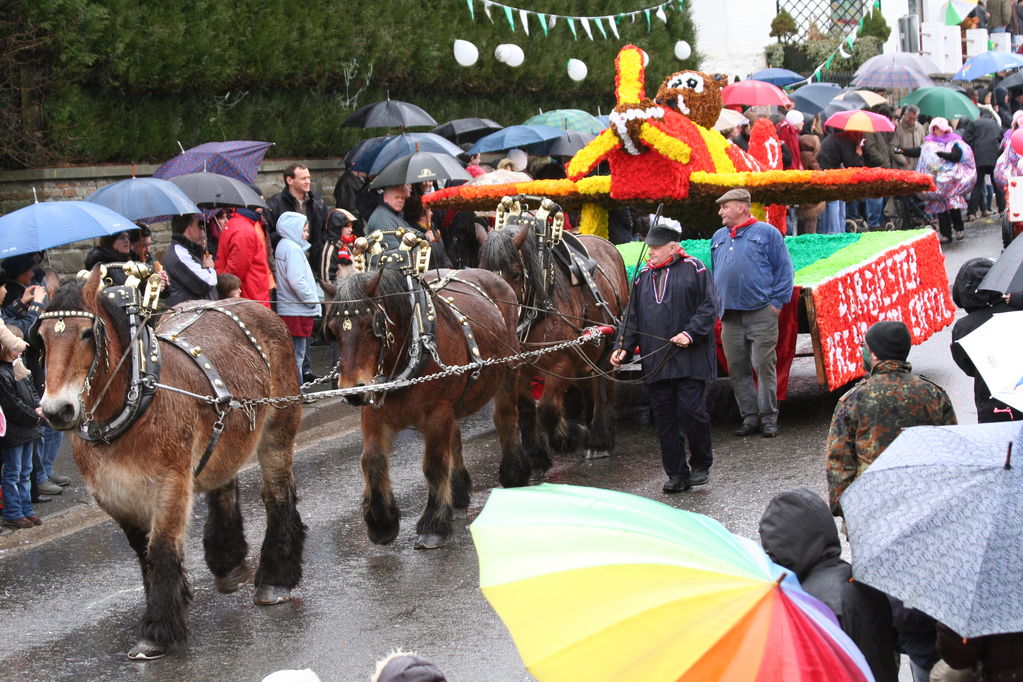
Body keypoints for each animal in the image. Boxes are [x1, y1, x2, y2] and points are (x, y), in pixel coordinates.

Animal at [37, 267, 306, 662]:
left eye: (87, 333)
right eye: (41, 338)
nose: (57, 411)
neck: (132, 403)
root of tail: (253, 304)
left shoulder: (170, 482)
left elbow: (161, 548)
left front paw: (157, 631)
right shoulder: (113, 495)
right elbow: (143, 551)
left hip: (278, 430)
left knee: (278, 496)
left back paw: (275, 579)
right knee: (224, 485)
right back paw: (228, 563)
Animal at [327, 265, 531, 548]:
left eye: (371, 325)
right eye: (333, 330)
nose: (352, 391)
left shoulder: (437, 414)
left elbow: (434, 465)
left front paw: (433, 525)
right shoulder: (374, 414)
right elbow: (372, 460)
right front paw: (381, 523)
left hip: (508, 374)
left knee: (506, 420)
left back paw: (514, 475)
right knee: (455, 440)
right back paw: (458, 494)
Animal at [478, 215, 630, 472]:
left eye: (516, 274)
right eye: (481, 274)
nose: (496, 322)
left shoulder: (562, 361)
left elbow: (547, 407)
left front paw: (567, 436)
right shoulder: (520, 369)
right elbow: (527, 409)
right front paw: (537, 455)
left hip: (610, 342)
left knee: (603, 387)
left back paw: (599, 439)